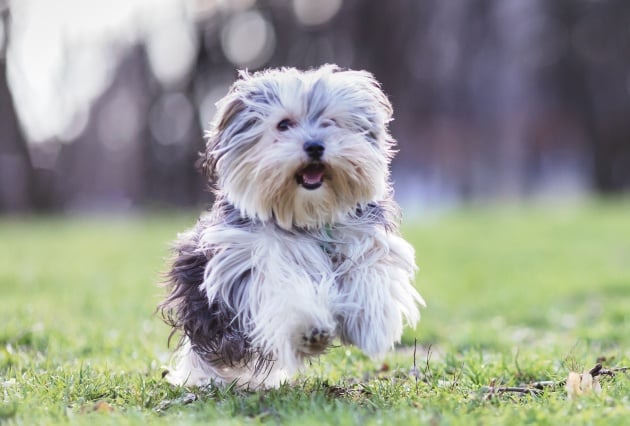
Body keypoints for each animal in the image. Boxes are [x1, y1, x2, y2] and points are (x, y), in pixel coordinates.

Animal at [160, 64, 428, 390]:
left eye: (330, 122)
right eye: (284, 124)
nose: (314, 146)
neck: (309, 217)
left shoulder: (364, 237)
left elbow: (372, 269)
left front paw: (370, 322)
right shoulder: (254, 256)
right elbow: (284, 290)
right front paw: (309, 331)